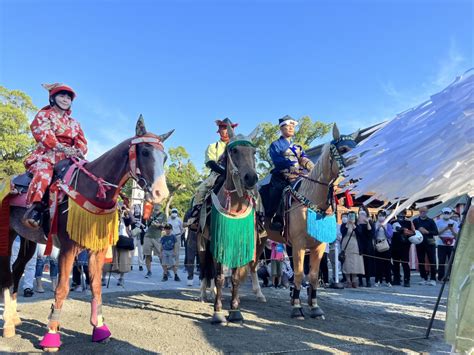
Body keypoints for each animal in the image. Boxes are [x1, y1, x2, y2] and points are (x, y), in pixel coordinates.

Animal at [0, 116, 174, 350]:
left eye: (164, 157)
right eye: (145, 151)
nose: (160, 192)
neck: (92, 188)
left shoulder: (97, 251)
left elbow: (96, 286)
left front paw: (99, 328)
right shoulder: (68, 248)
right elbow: (62, 288)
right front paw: (51, 333)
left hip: (28, 238)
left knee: (18, 270)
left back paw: (14, 318)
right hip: (8, 234)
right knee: (7, 273)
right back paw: (8, 324)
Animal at [198, 129, 262, 326]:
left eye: (254, 152)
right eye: (234, 151)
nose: (251, 178)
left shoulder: (239, 242)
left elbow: (234, 278)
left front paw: (235, 310)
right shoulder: (218, 242)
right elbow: (219, 277)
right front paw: (218, 311)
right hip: (201, 244)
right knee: (204, 270)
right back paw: (203, 294)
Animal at [262, 125, 358, 320]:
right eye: (344, 149)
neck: (313, 198)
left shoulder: (318, 245)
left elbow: (313, 276)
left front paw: (314, 306)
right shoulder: (298, 244)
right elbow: (299, 274)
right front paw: (297, 308)